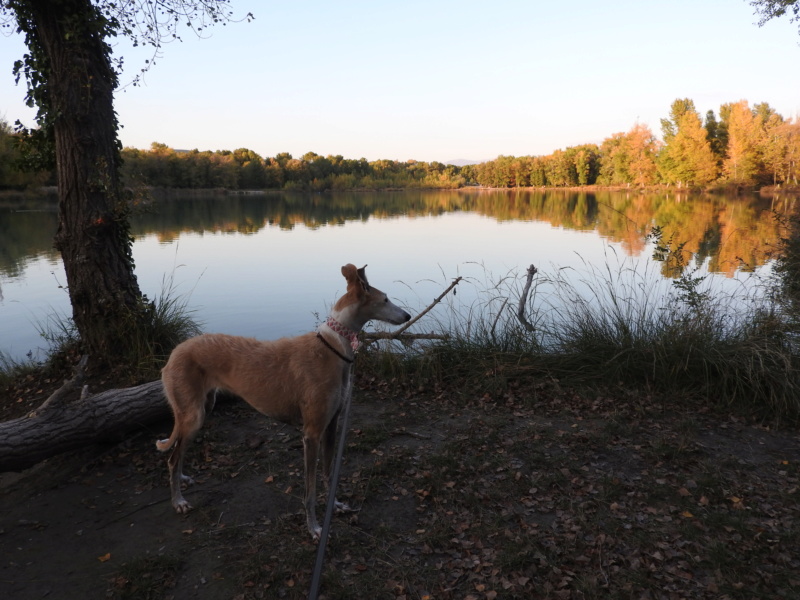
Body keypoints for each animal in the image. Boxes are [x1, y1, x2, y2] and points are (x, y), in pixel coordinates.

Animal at [155, 262, 410, 540]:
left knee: (179, 453)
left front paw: (336, 505)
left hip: (201, 409)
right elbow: (310, 491)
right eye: (385, 299)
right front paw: (315, 528)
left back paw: (183, 479)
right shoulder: (311, 433)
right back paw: (178, 501)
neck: (332, 347)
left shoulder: (331, 425)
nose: (408, 316)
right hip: (193, 415)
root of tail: (175, 352)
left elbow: (328, 473)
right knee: (172, 458)